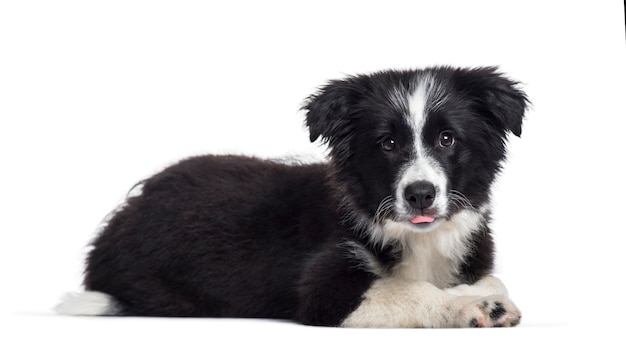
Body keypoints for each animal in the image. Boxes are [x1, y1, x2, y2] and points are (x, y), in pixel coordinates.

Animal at [57, 65, 528, 326]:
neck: (418, 238)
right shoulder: (323, 290)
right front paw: (474, 308)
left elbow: (494, 279)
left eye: (448, 139)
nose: (420, 195)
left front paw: (479, 296)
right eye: (388, 144)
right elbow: (412, 291)